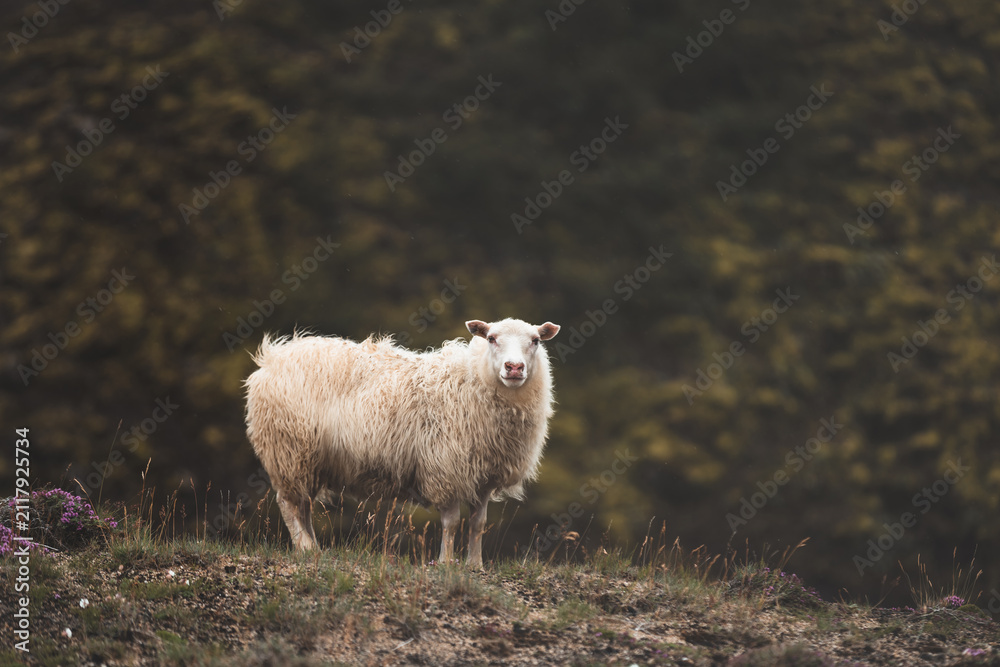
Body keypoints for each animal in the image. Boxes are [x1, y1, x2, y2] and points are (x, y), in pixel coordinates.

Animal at [244, 317, 561, 566]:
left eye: (535, 341)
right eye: (492, 339)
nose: (514, 367)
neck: (473, 379)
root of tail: (272, 358)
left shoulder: (482, 476)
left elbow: (478, 523)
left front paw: (475, 565)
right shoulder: (445, 469)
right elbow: (451, 522)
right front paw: (446, 563)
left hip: (309, 459)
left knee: (304, 505)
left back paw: (312, 549)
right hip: (288, 448)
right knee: (287, 503)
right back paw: (305, 547)